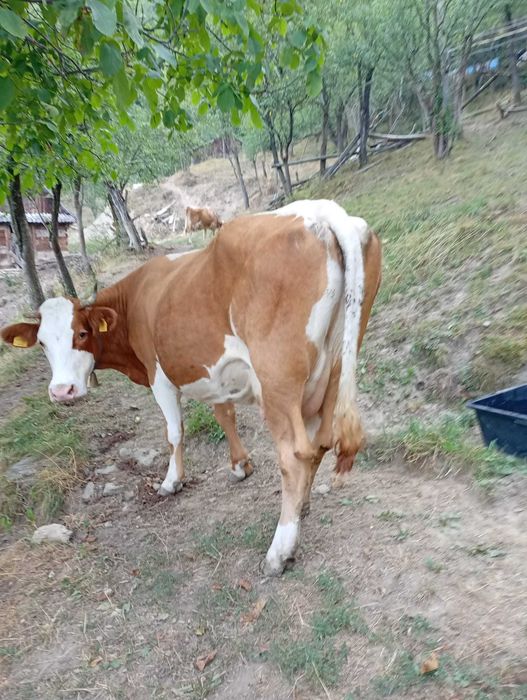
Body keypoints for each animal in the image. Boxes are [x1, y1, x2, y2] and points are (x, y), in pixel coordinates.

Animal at [1, 200, 381, 576]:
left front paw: (172, 481)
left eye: (81, 333)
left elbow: (174, 432)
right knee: (321, 442)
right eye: (42, 343)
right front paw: (240, 466)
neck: (135, 299)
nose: (61, 391)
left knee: (295, 454)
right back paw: (302, 507)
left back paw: (280, 549)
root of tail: (321, 210)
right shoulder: (214, 371)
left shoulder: (158, 374)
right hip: (332, 369)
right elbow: (224, 413)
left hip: (277, 379)